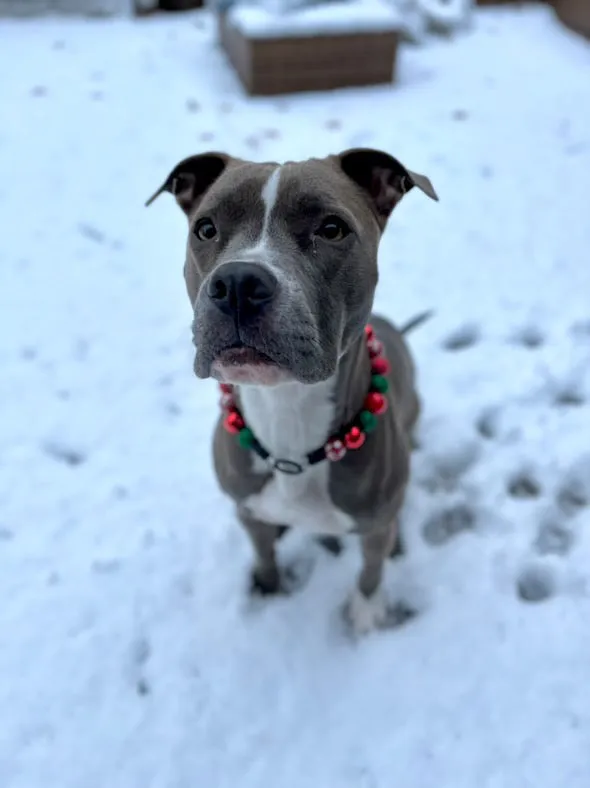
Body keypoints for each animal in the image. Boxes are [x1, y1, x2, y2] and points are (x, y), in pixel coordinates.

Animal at [146, 149, 438, 636]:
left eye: (332, 229)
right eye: (205, 228)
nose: (238, 283)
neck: (287, 414)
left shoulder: (374, 526)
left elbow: (370, 570)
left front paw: (366, 615)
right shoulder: (246, 508)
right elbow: (263, 551)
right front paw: (267, 586)